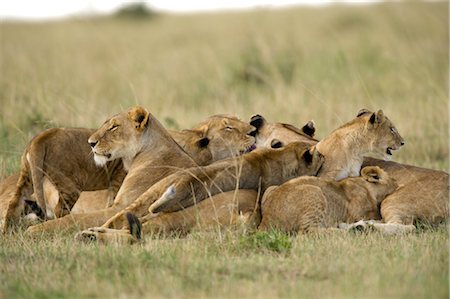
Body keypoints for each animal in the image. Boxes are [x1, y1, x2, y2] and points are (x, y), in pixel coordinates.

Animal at [258, 168, 400, 233]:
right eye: (394, 181)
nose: (399, 185)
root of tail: (267, 219)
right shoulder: (360, 213)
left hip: (270, 188)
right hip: (314, 192)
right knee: (307, 233)